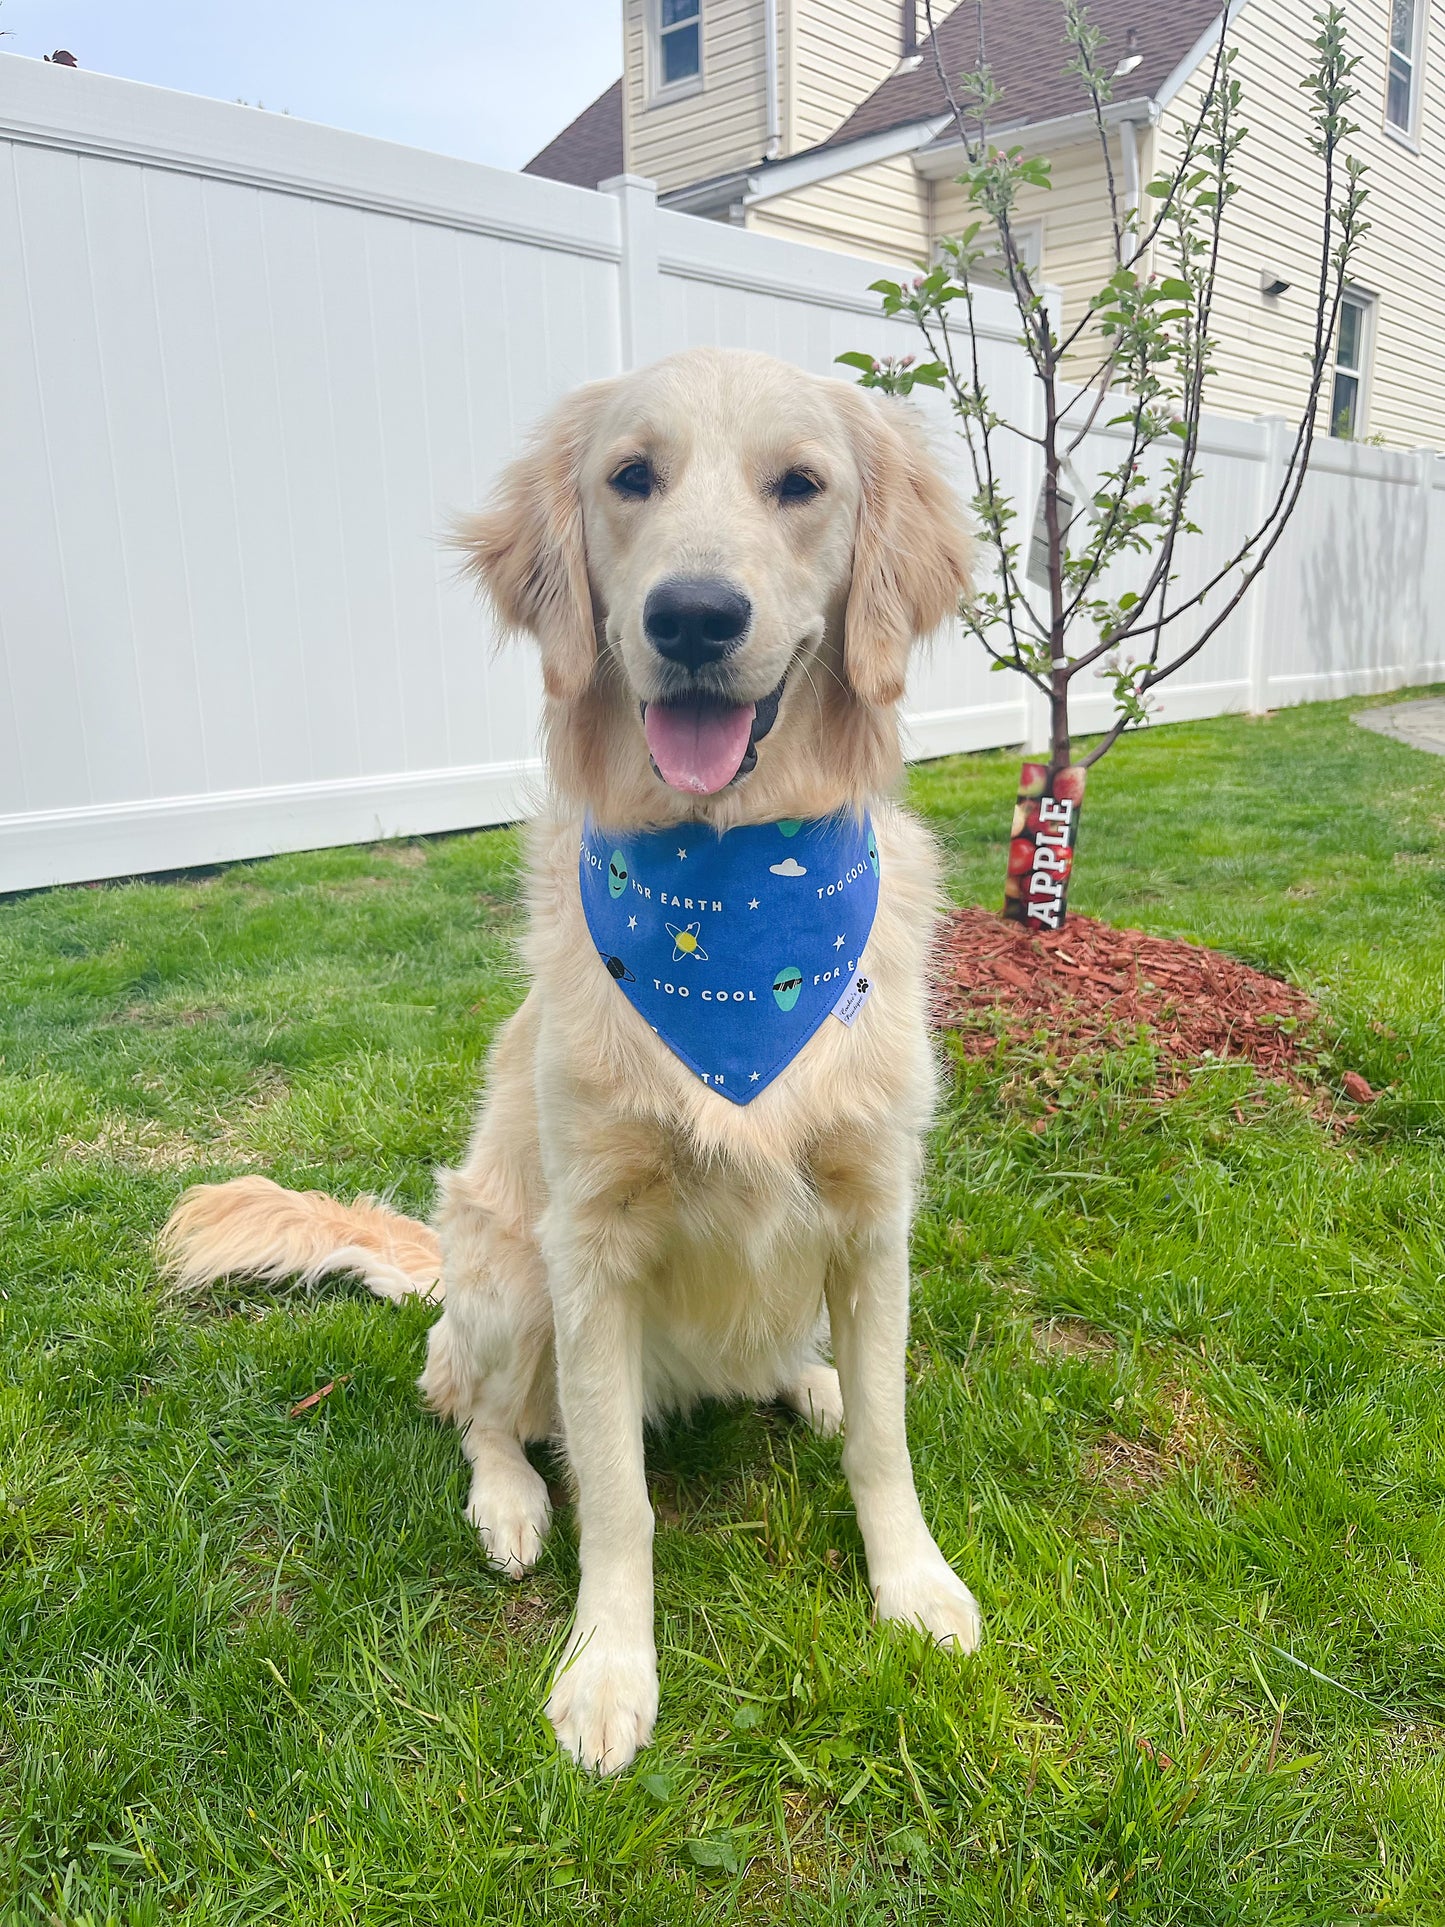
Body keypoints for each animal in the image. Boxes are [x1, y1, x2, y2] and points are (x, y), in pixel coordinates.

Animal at [157, 350, 978, 1772]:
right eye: (630, 477)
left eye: (800, 485)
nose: (693, 616)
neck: (734, 901)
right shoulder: (591, 1247)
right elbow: (618, 1497)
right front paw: (606, 1667)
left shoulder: (875, 1212)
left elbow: (886, 1440)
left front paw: (910, 1583)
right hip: (505, 1276)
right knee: (475, 1409)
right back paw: (507, 1504)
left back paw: (808, 1382)